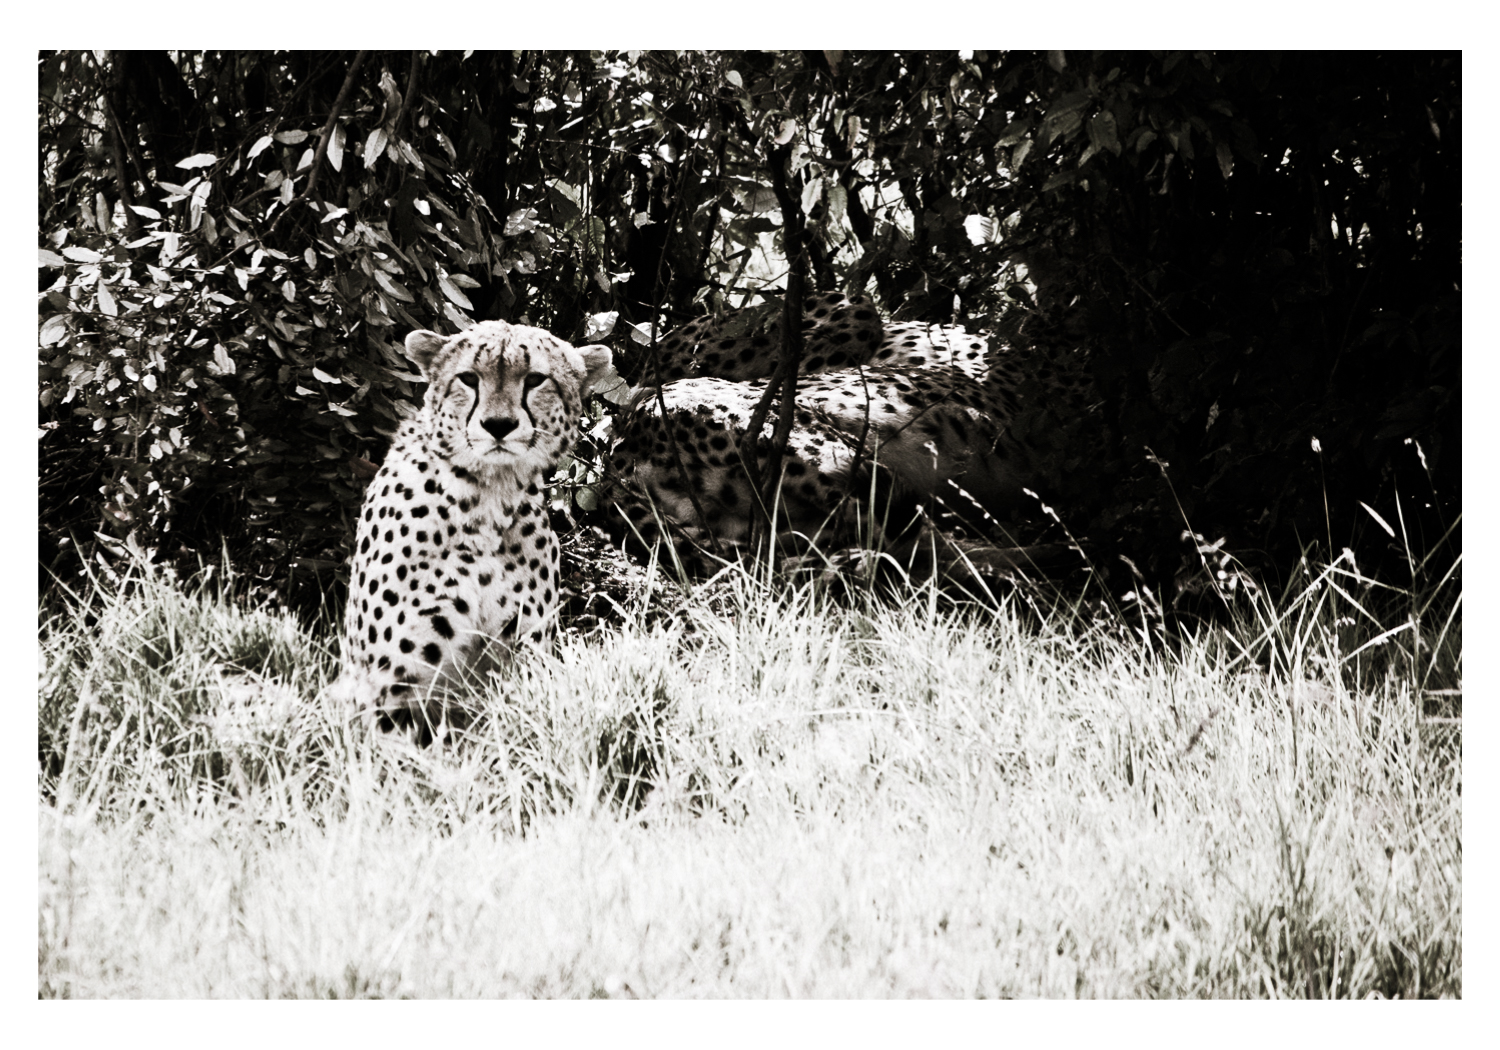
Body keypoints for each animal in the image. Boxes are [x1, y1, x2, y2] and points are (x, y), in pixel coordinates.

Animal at [340, 319, 615, 723]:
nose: (498, 425)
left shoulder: (520, 664)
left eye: (535, 380)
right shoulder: (390, 687)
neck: (490, 497)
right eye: (469, 378)